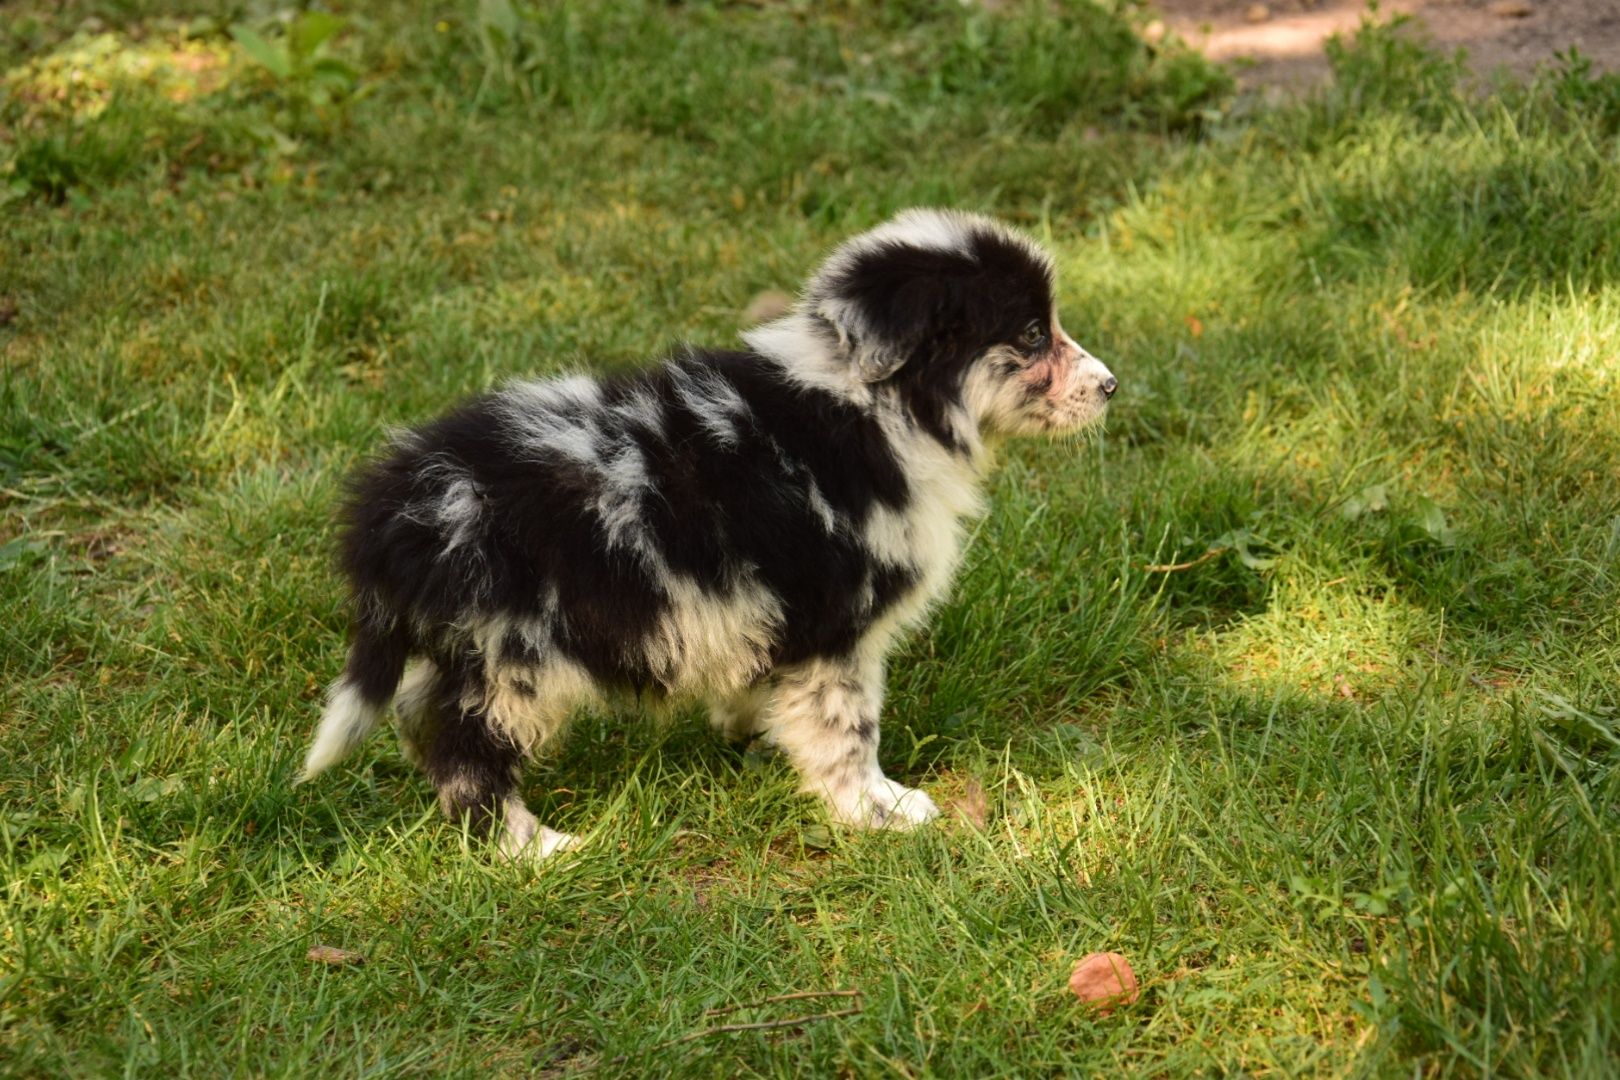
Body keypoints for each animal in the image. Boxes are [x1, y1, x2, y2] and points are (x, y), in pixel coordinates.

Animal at [298, 208, 1114, 861]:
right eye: (1032, 334)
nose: (1110, 386)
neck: (876, 405)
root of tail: (391, 511)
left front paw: (749, 724)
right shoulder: (835, 623)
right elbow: (849, 727)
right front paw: (877, 809)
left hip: (469, 641)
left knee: (420, 711)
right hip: (516, 649)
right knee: (465, 748)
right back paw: (532, 846)